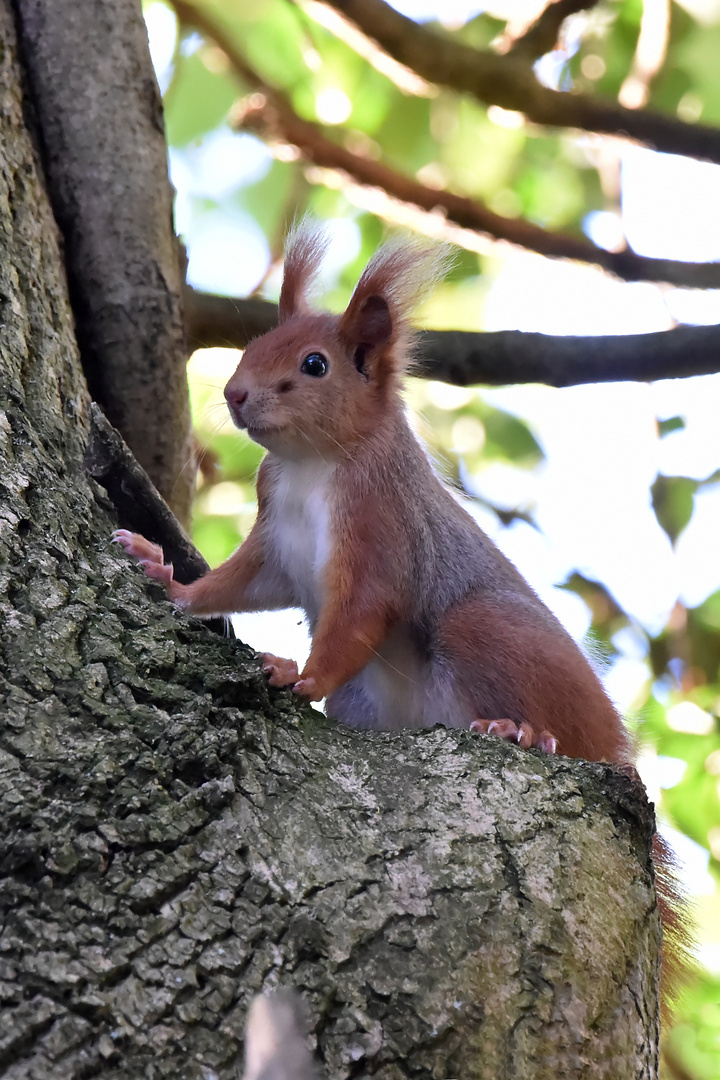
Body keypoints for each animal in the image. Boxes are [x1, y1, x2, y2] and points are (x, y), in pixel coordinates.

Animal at [115, 219, 690, 993]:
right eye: (253, 345)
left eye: (316, 364)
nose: (235, 394)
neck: (313, 466)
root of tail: (614, 749)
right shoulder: (275, 547)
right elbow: (232, 585)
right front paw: (166, 578)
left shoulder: (381, 539)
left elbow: (354, 623)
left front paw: (297, 675)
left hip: (486, 631)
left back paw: (521, 732)